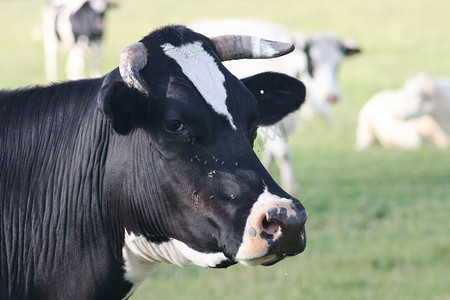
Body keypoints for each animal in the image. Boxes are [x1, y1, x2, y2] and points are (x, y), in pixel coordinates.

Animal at [190, 19, 362, 195]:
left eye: (338, 64)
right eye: (313, 63)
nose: (331, 96)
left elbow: (271, 153)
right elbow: (284, 153)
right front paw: (291, 186)